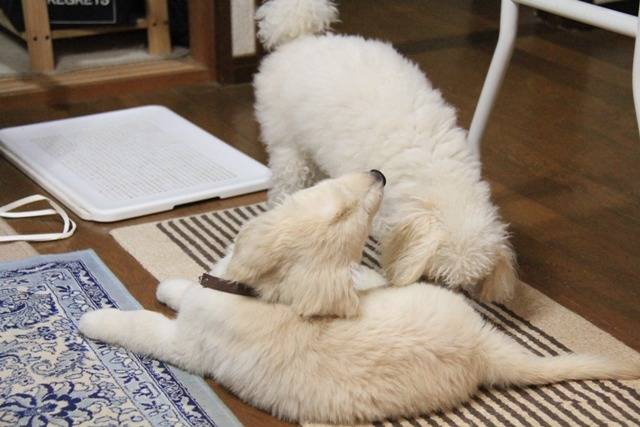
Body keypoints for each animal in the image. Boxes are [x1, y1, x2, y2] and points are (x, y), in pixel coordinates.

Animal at [79, 172, 639, 425]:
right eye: (343, 208)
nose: (379, 174)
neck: (261, 295)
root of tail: (484, 349)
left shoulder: (187, 344)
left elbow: (141, 326)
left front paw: (95, 318)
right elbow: (186, 286)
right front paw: (171, 285)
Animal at [254, 0, 517, 302]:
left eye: (465, 284)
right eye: (438, 277)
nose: (451, 298)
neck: (440, 173)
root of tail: (300, 39)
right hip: (288, 148)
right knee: (284, 185)